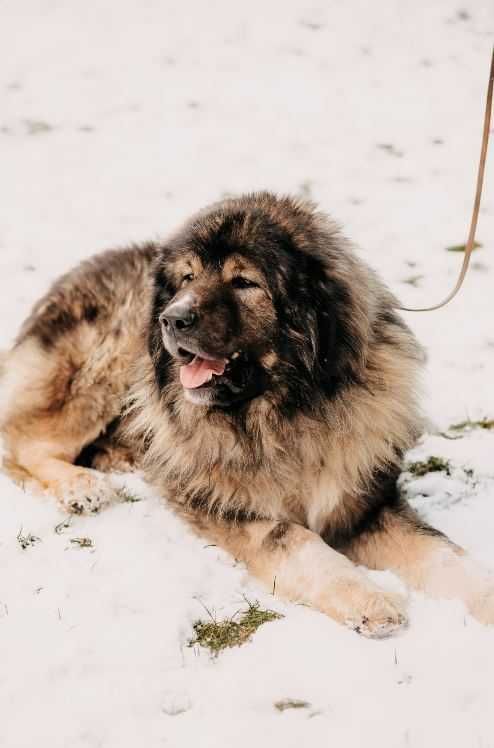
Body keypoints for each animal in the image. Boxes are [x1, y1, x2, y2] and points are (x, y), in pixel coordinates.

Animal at [0, 193, 494, 636]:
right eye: (187, 277)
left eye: (244, 282)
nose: (170, 318)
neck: (288, 412)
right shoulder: (230, 507)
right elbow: (295, 538)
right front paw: (369, 599)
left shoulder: (365, 503)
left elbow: (443, 553)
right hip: (104, 361)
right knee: (26, 442)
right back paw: (81, 487)